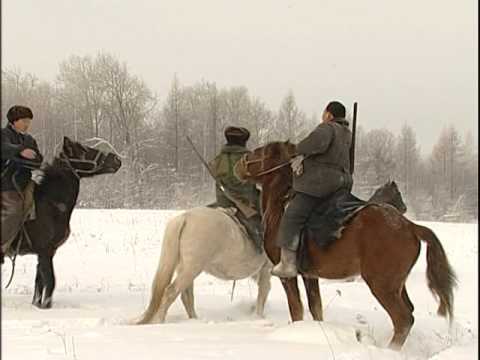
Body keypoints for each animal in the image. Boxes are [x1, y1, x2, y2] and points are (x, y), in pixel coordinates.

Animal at [5, 136, 122, 308]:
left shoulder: (47, 252)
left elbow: (39, 284)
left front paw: (38, 305)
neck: (52, 205)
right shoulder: (45, 251)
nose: (116, 159)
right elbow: (50, 282)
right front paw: (46, 307)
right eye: (83, 150)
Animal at [136, 205, 270, 324]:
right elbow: (263, 292)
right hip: (192, 269)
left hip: (186, 269)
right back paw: (159, 321)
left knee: (186, 296)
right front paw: (258, 317)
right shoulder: (265, 270)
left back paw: (194, 320)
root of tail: (186, 217)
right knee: (171, 292)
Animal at [236, 142, 458, 350]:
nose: (239, 165)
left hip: (382, 285)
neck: (281, 205)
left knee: (403, 319)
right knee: (408, 313)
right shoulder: (310, 276)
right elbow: (316, 308)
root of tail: (410, 225)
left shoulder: (288, 277)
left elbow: (297, 309)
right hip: (397, 285)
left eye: (260, 152)